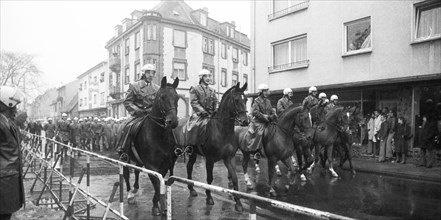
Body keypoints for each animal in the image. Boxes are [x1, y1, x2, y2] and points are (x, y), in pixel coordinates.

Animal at [121, 76, 180, 216]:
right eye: (162, 97)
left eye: (177, 98)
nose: (173, 121)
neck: (159, 135)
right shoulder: (151, 166)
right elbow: (157, 186)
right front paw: (156, 206)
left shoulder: (164, 166)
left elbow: (159, 185)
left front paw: (159, 204)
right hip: (125, 158)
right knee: (126, 174)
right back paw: (130, 194)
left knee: (137, 171)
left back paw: (135, 189)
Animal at [173, 82, 248, 211]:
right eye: (236, 100)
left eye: (246, 99)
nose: (245, 121)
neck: (222, 130)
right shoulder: (210, 159)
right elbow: (209, 178)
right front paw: (209, 198)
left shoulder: (229, 158)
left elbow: (234, 178)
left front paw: (238, 203)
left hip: (193, 153)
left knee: (189, 166)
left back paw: (192, 189)